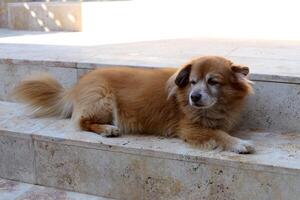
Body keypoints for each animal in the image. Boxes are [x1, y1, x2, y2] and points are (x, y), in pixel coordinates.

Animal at [13, 55, 253, 153]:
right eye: (193, 82)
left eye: (213, 81)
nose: (194, 97)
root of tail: (76, 86)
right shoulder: (190, 129)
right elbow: (218, 134)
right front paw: (239, 143)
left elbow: (219, 129)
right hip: (103, 99)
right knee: (83, 122)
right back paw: (107, 129)